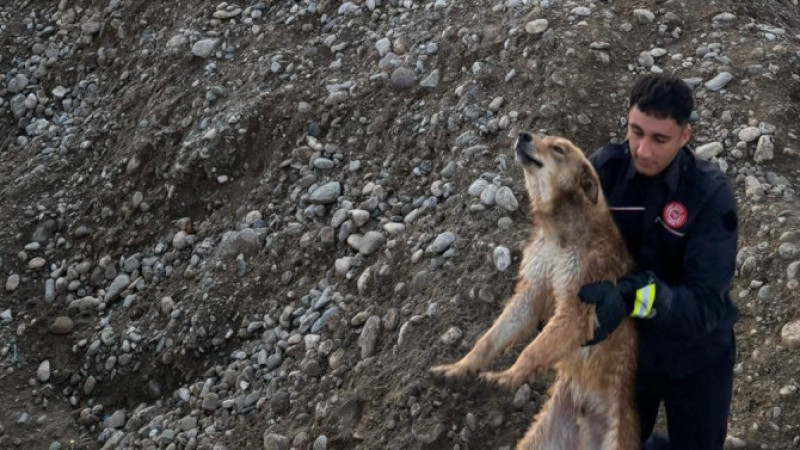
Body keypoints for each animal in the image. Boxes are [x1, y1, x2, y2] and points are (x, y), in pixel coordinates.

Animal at [428, 132, 640, 448]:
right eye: (543, 135)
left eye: (558, 148)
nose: (523, 134)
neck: (559, 232)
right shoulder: (532, 290)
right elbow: (489, 340)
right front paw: (458, 368)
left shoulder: (577, 307)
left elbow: (532, 350)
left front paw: (507, 376)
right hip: (542, 438)